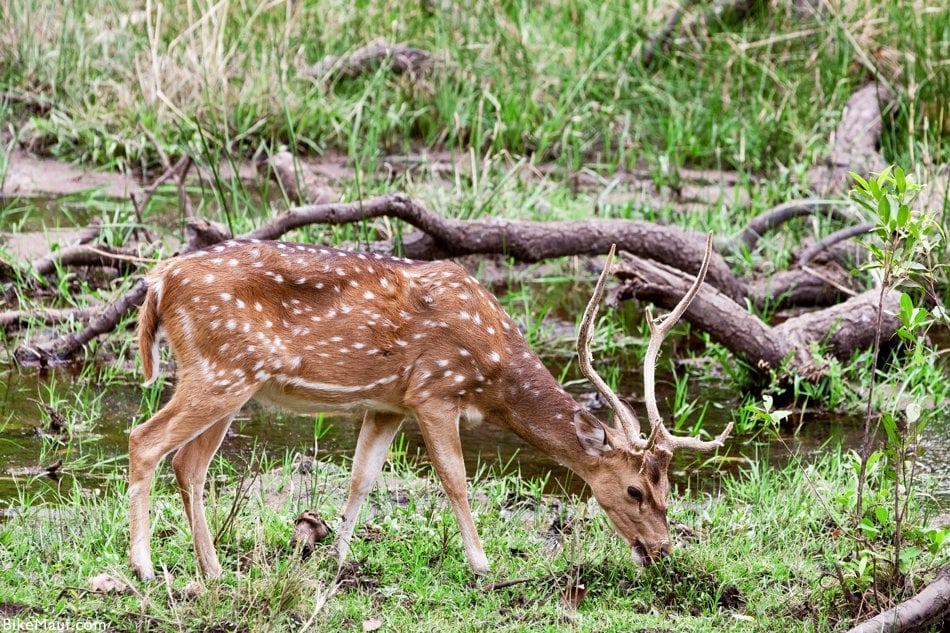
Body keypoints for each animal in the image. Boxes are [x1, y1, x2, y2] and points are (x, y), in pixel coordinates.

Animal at [130, 236, 732, 576]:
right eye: (634, 490)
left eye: (667, 490)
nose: (661, 552)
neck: (493, 371)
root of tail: (157, 282)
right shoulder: (435, 390)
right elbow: (455, 479)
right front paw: (481, 563)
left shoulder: (388, 403)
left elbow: (362, 476)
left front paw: (337, 558)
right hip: (222, 371)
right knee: (145, 440)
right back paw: (144, 567)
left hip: (233, 381)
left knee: (188, 465)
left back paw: (213, 570)